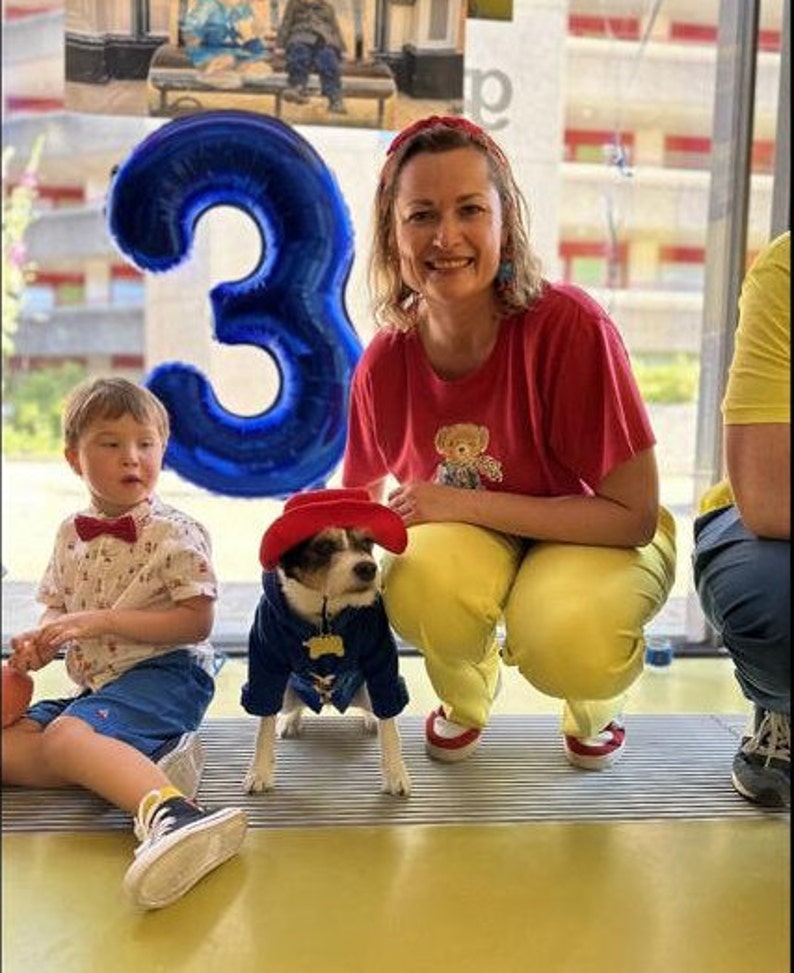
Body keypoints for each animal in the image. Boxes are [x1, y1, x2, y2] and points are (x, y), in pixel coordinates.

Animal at [241, 490, 412, 792]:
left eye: (367, 543)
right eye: (322, 547)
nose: (368, 568)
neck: (325, 614)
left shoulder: (381, 659)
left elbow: (389, 720)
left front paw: (395, 772)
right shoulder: (265, 659)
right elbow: (264, 724)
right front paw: (259, 770)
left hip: (365, 690)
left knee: (376, 708)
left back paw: (371, 718)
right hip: (287, 693)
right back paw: (290, 719)